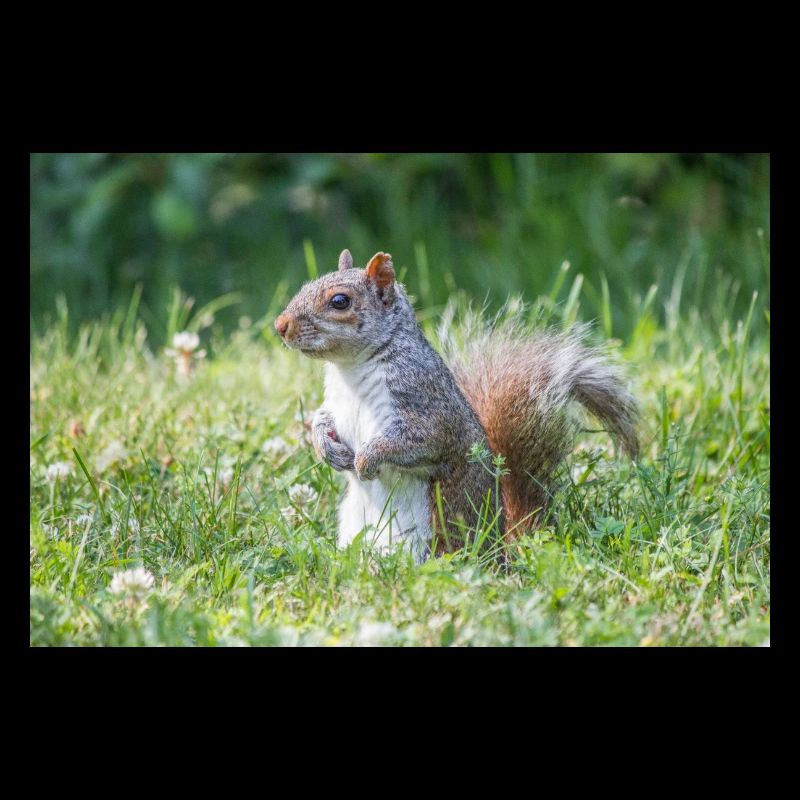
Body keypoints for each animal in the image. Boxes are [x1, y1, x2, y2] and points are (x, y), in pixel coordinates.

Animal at [275, 249, 639, 563]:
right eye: (306, 285)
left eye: (340, 301)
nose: (280, 325)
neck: (349, 369)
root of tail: (500, 549)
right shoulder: (335, 402)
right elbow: (322, 419)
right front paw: (325, 447)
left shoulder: (427, 403)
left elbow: (420, 440)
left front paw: (366, 460)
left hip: (427, 540)